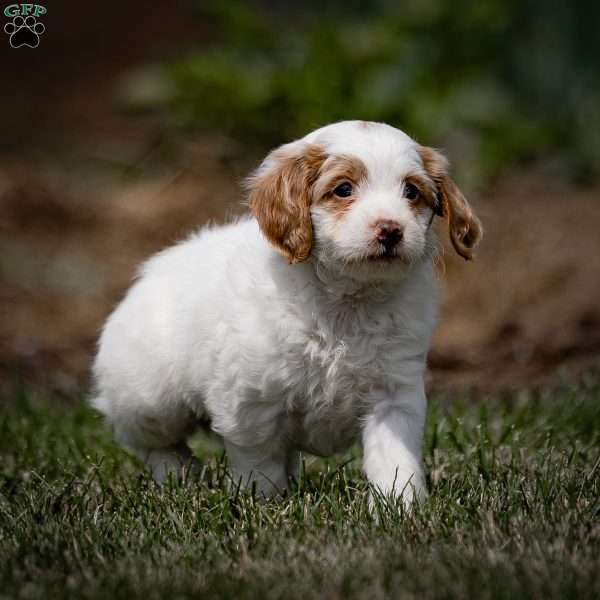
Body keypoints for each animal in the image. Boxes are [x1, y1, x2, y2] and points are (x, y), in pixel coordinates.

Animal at [91, 120, 480, 506]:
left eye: (411, 192)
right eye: (343, 189)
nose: (390, 230)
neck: (347, 300)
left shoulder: (393, 393)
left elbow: (394, 456)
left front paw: (400, 505)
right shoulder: (251, 401)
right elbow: (259, 461)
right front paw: (261, 502)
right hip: (149, 396)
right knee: (148, 442)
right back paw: (181, 473)